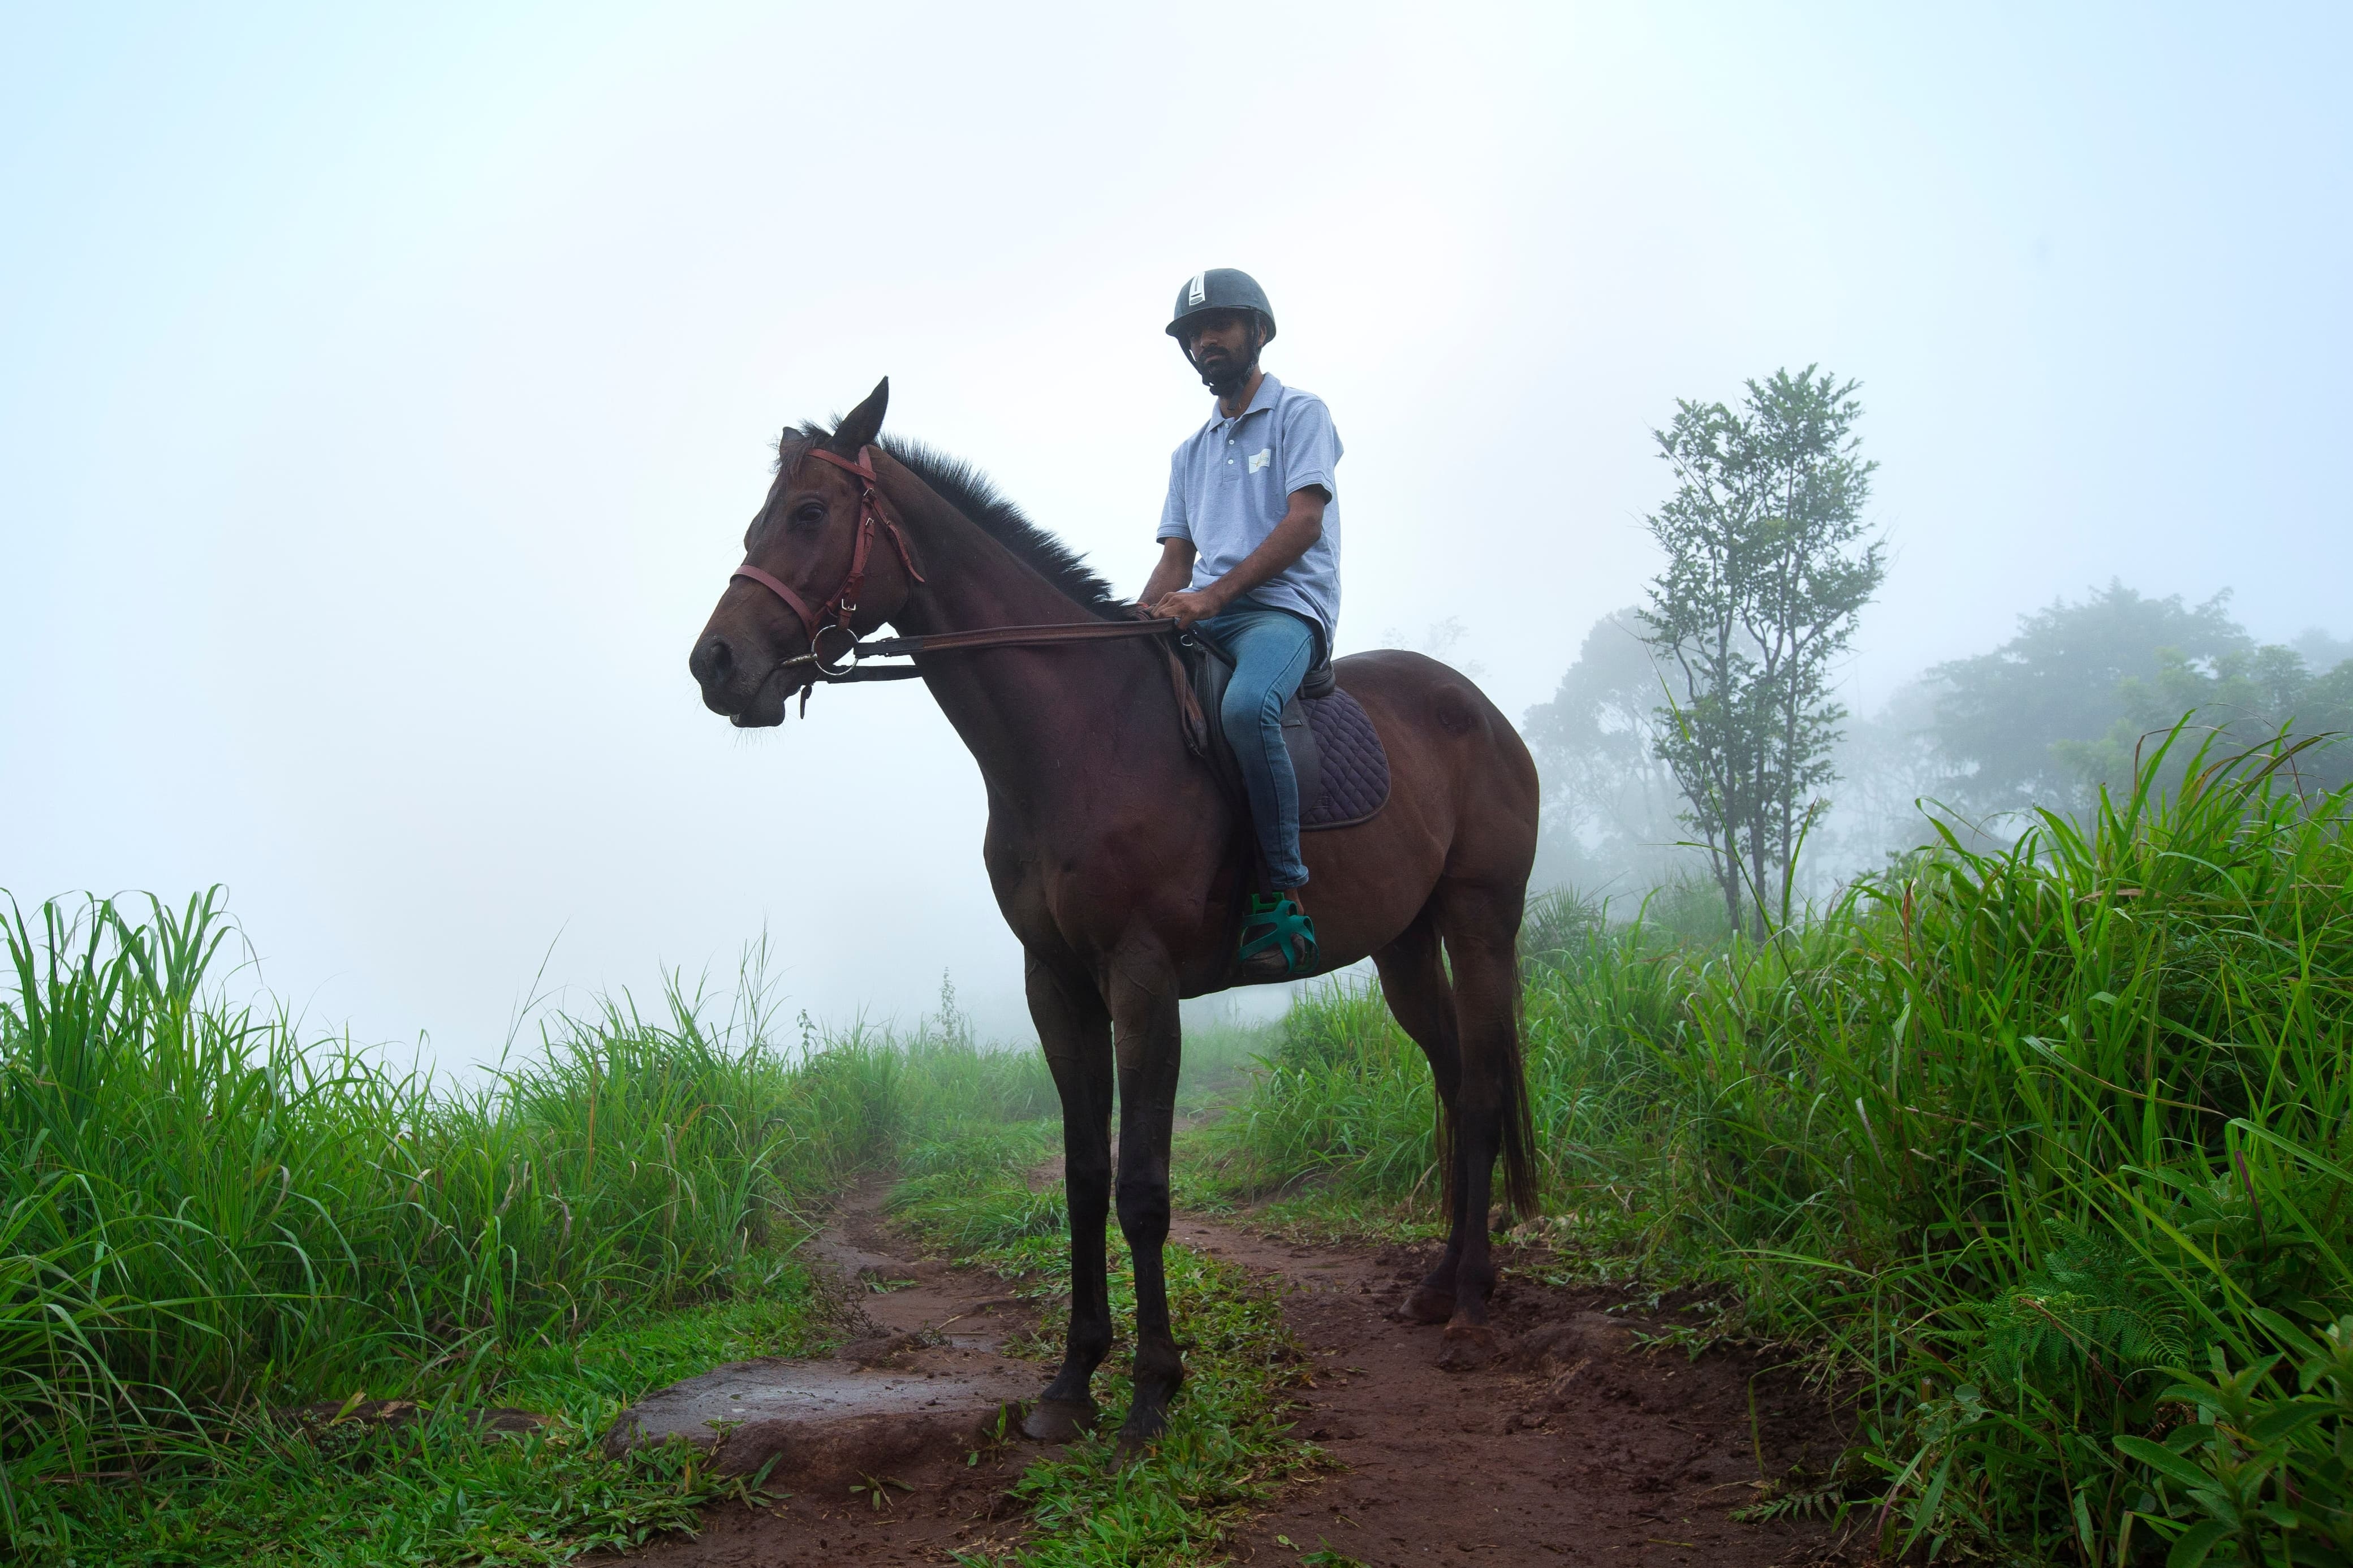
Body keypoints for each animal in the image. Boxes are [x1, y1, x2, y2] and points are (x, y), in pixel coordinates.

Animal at [688, 379, 1540, 1448]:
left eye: (809, 513)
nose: (714, 663)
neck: (1079, 736)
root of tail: (1486, 712)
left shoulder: (1143, 982)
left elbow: (1142, 1188)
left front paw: (1151, 1388)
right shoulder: (1055, 983)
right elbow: (1084, 1174)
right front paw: (1072, 1377)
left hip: (1480, 920)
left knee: (1481, 1094)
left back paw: (1469, 1304)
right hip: (1405, 946)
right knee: (1457, 1083)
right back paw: (1441, 1283)